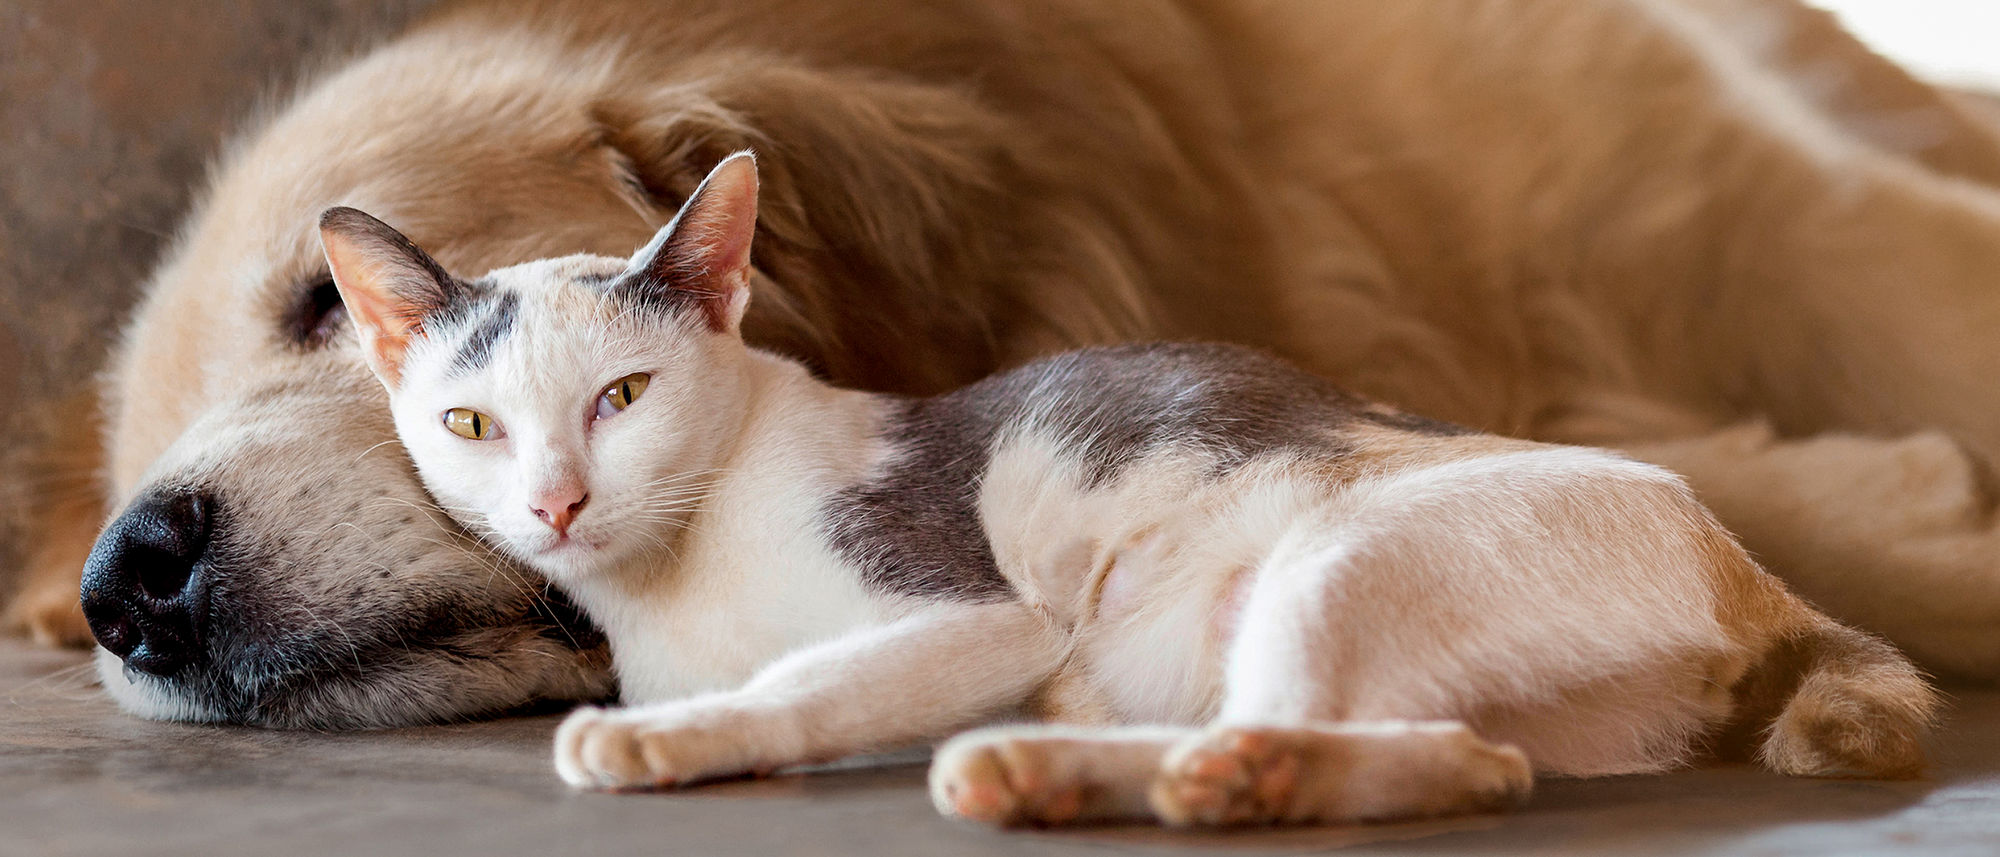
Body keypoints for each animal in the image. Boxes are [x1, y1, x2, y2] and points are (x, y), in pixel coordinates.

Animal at [316, 150, 1936, 824]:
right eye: (470, 423)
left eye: (624, 399)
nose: (556, 504)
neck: (667, 579)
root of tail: (1749, 566)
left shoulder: (978, 612)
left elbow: (808, 682)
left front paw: (673, 736)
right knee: (1453, 753)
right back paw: (1050, 770)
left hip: (1334, 557)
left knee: (1405, 750)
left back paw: (1179, 780)